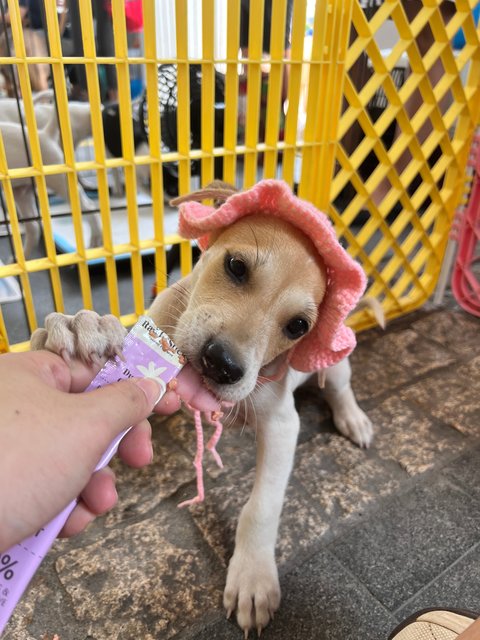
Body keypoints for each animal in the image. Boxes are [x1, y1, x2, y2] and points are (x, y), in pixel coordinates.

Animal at [31, 180, 374, 636]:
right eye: (236, 267)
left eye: (299, 326)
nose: (222, 364)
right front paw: (81, 328)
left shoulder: (283, 426)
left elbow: (262, 507)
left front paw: (252, 576)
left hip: (335, 366)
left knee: (340, 388)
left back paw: (354, 419)